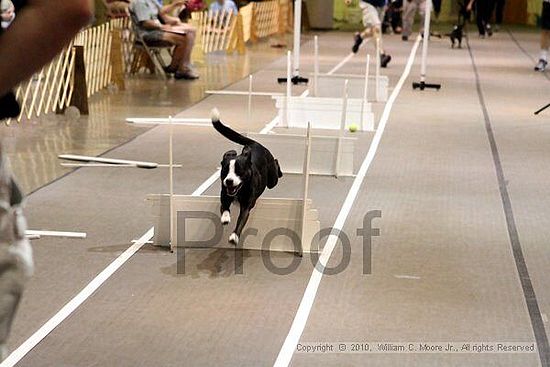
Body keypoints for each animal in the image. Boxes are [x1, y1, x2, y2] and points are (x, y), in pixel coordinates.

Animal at [212, 109, 284, 247]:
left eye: (239, 171)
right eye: (225, 171)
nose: (229, 181)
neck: (240, 190)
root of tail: (254, 143)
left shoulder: (246, 206)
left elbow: (241, 221)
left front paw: (234, 236)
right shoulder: (224, 196)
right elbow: (224, 208)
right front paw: (225, 218)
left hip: (272, 180)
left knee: (276, 164)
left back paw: (280, 170)